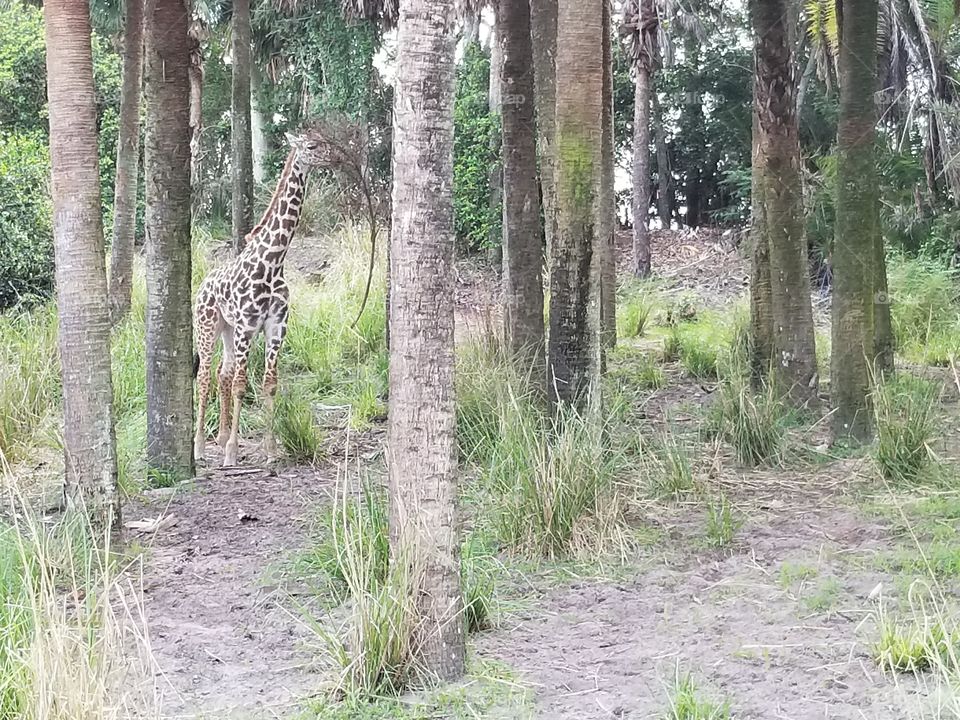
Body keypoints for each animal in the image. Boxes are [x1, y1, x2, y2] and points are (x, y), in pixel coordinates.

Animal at [193, 129, 332, 466]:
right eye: (312, 145)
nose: (334, 157)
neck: (274, 262)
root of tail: (202, 285)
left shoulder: (275, 324)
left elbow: (269, 384)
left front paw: (269, 450)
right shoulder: (247, 325)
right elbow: (243, 385)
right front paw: (231, 452)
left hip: (227, 330)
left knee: (223, 372)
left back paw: (220, 436)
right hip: (208, 326)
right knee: (204, 376)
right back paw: (200, 447)